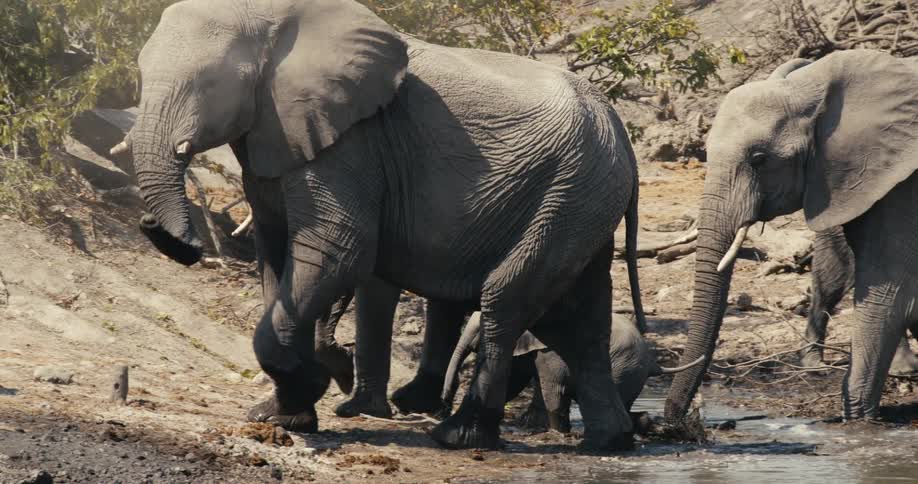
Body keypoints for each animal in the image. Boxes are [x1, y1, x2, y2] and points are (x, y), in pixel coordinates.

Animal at [122, 0, 646, 450]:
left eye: (210, 83)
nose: (154, 224)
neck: (273, 17)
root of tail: (616, 122)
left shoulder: (353, 141)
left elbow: (335, 250)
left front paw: (313, 384)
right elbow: (273, 255)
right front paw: (283, 415)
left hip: (570, 191)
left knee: (507, 301)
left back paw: (458, 436)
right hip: (583, 200)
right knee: (576, 321)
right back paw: (609, 442)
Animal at [441, 312, 704, 433]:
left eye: (479, 328)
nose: (444, 404)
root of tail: (653, 362)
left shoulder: (550, 349)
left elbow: (553, 389)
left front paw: (555, 432)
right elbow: (517, 381)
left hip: (625, 368)